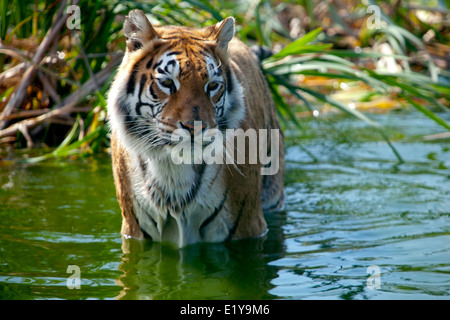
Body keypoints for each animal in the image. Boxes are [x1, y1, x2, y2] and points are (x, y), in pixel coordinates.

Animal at [106, 8, 284, 248]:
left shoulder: (248, 228)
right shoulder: (135, 230)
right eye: (167, 83)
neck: (173, 170)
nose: (195, 127)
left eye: (212, 86)